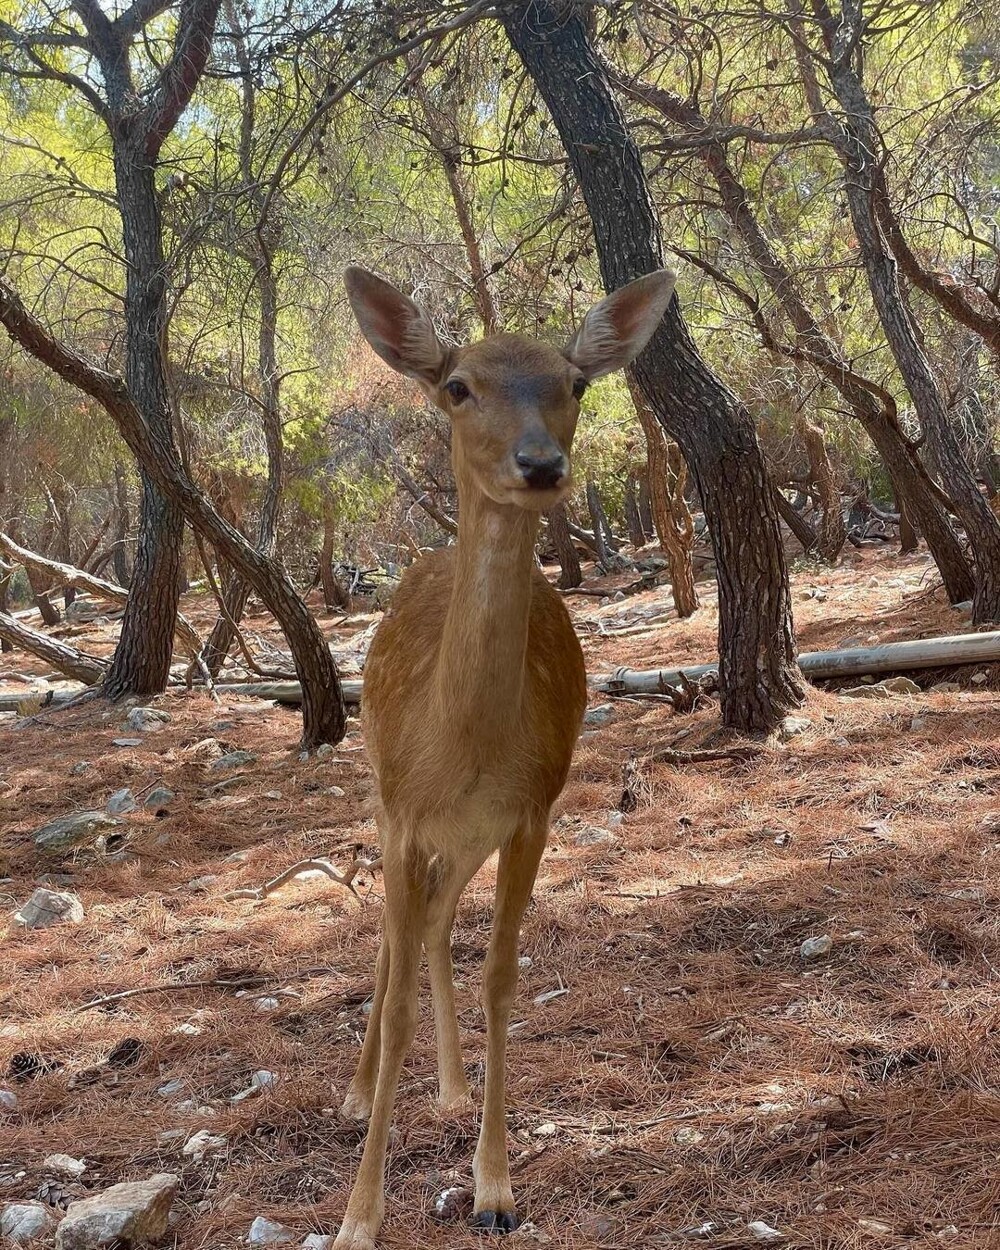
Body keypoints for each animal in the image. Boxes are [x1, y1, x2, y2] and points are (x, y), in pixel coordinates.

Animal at [335, 266, 680, 1250]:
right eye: (458, 386)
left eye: (577, 384)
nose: (541, 464)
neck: (463, 749)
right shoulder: (406, 812)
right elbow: (397, 997)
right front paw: (358, 1218)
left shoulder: (531, 812)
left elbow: (501, 978)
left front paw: (494, 1188)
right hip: (381, 802)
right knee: (391, 937)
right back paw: (358, 1091)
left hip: (473, 838)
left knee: (437, 920)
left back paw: (452, 1092)